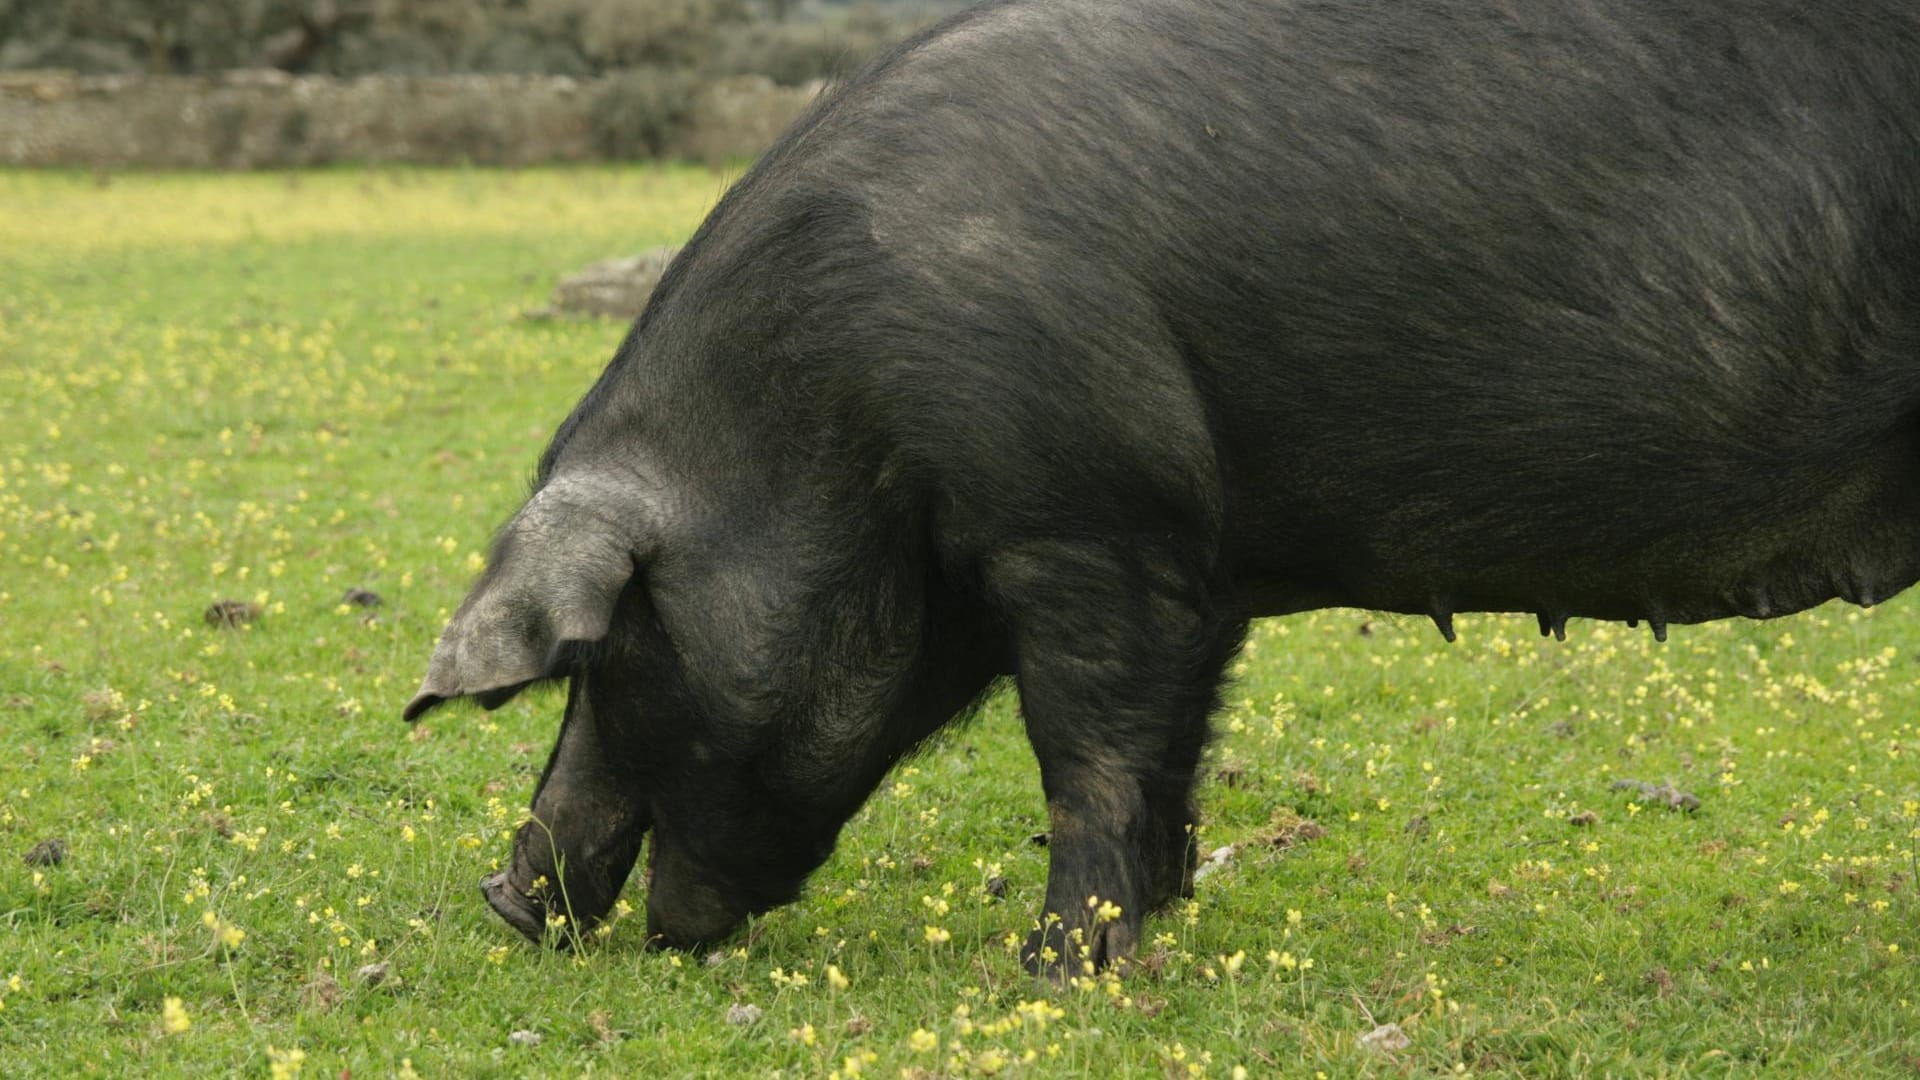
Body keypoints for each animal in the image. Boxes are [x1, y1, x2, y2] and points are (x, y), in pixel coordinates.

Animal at [405, 0, 1920, 972]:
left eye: (621, 648)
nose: (501, 899)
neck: (836, 405)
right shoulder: (1198, 566)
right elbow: (1175, 748)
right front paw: (1168, 921)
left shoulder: (1087, 518)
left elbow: (1086, 749)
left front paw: (1056, 968)